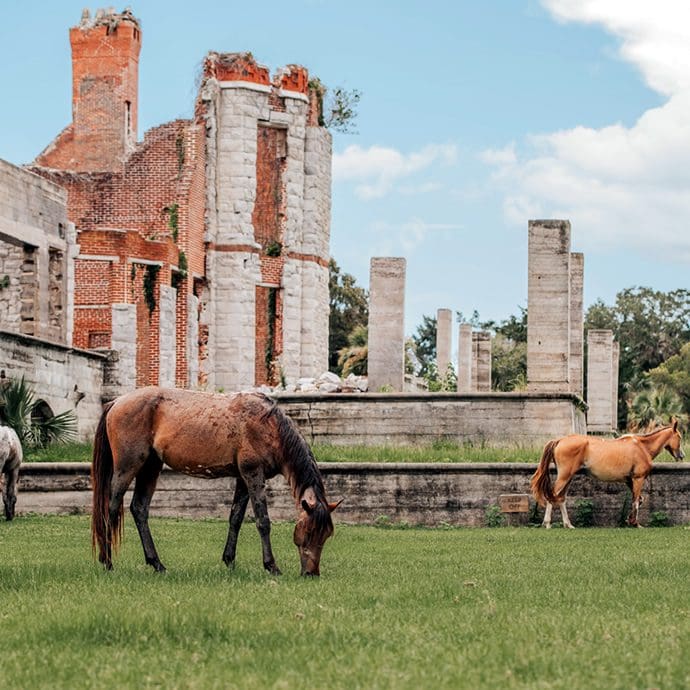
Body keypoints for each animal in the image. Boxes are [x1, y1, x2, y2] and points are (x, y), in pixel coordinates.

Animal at [91, 388, 338, 576]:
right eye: (308, 532)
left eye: (327, 535)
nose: (311, 573)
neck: (268, 426)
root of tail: (116, 401)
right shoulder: (253, 474)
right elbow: (263, 521)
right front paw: (271, 566)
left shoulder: (243, 479)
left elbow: (236, 519)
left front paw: (229, 560)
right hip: (127, 467)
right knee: (112, 508)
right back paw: (108, 562)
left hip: (151, 468)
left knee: (139, 509)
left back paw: (157, 563)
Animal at [528, 420, 680, 528]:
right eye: (679, 436)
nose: (681, 455)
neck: (642, 446)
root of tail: (560, 440)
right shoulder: (638, 479)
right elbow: (636, 500)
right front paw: (635, 523)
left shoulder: (629, 480)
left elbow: (639, 499)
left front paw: (629, 520)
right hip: (564, 476)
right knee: (552, 495)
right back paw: (547, 523)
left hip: (568, 478)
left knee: (560, 498)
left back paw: (568, 524)